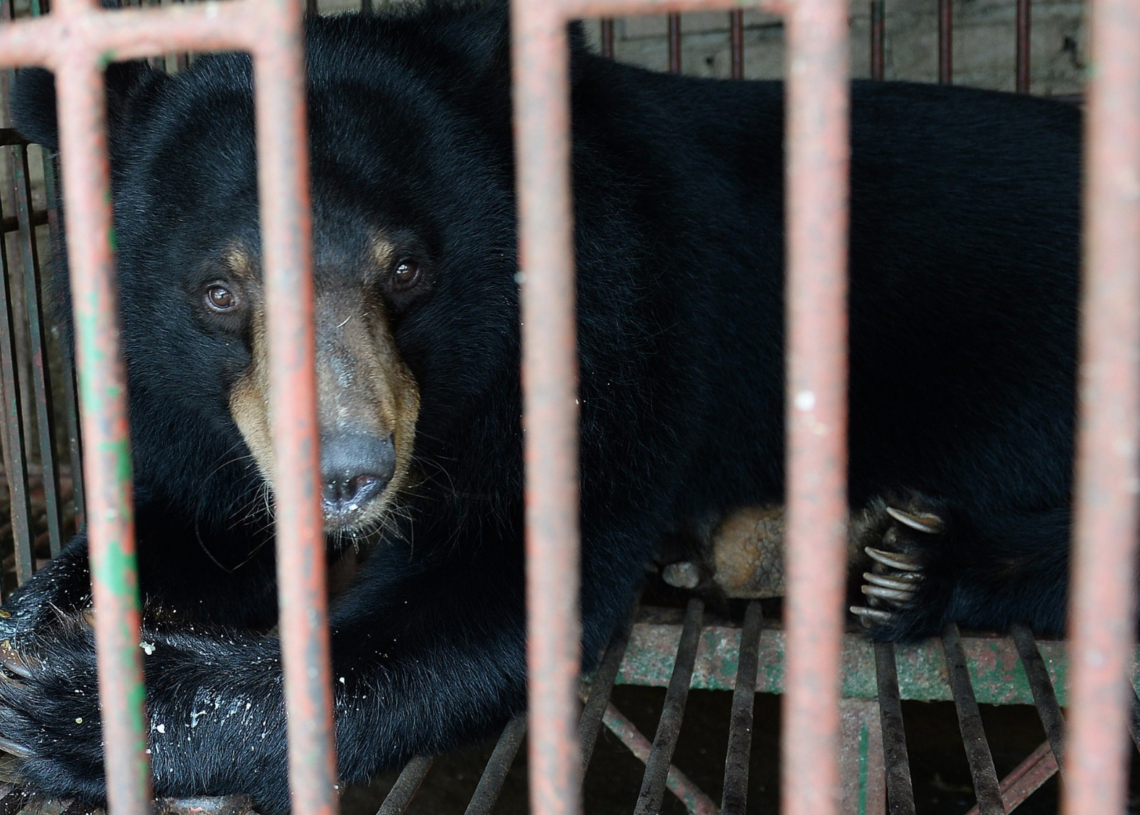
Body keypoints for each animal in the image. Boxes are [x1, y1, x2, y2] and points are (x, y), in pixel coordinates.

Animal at [5, 0, 1080, 810]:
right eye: (220, 292)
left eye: (408, 269)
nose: (345, 477)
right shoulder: (189, 407)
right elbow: (190, 517)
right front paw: (35, 622)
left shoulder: (610, 327)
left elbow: (493, 590)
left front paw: (79, 707)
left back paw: (910, 561)